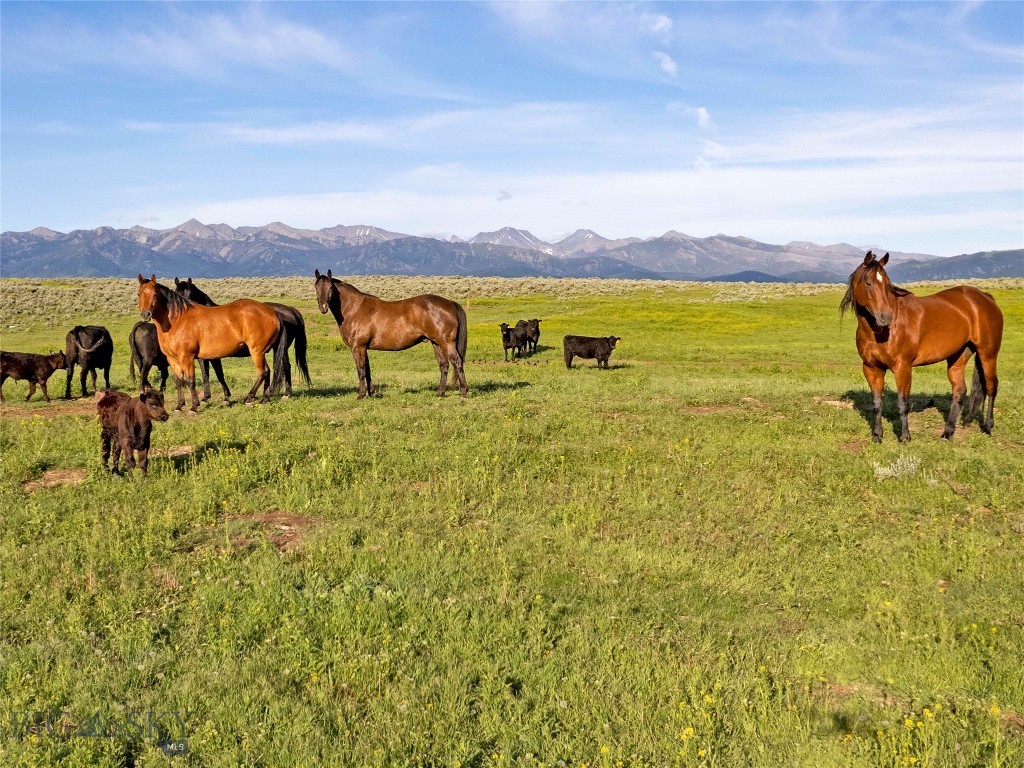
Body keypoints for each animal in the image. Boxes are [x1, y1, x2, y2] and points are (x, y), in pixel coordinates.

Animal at [136, 274, 286, 411]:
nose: (146, 314)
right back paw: (264, 399)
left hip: (256, 352)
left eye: (154, 294)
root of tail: (272, 312)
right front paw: (179, 406)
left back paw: (250, 398)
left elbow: (191, 381)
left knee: (263, 372)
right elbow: (179, 381)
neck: (177, 320)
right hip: (261, 352)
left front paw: (194, 407)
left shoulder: (187, 357)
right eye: (139, 294)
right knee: (267, 371)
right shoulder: (173, 359)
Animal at [174, 276, 309, 399]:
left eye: (190, 293)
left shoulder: (211, 357)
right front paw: (209, 396)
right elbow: (206, 374)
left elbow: (217, 374)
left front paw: (223, 397)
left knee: (283, 367)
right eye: (176, 293)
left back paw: (283, 394)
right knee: (284, 367)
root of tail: (290, 310)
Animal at [313, 270, 468, 399]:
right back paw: (440, 393)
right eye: (316, 287)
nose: (323, 307)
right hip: (436, 343)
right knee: (444, 365)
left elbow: (361, 369)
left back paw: (463, 392)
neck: (354, 309)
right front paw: (371, 393)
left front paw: (361, 395)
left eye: (330, 288)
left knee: (457, 362)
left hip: (446, 343)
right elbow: (367, 369)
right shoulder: (364, 348)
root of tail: (450, 303)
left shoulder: (358, 347)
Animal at [843, 253, 1003, 444]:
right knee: (960, 391)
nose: (885, 317)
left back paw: (988, 427)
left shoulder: (902, 368)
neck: (880, 332)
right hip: (958, 356)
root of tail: (986, 297)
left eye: (887, 283)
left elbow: (902, 403)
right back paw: (947, 433)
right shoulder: (871, 368)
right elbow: (877, 403)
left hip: (988, 354)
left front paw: (905, 437)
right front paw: (877, 436)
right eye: (868, 282)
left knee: (991, 386)